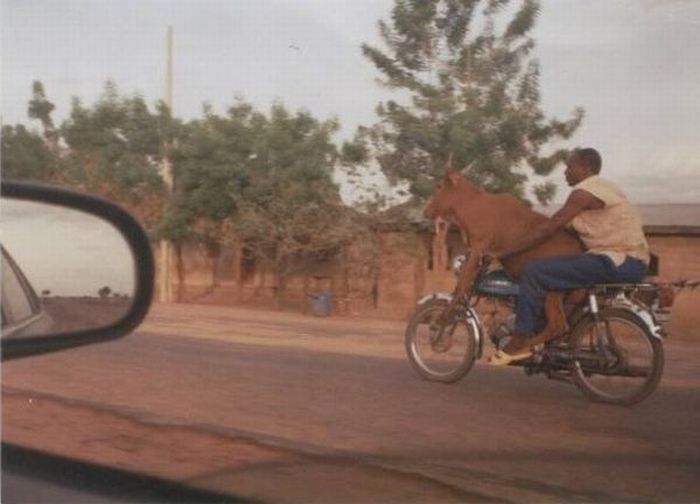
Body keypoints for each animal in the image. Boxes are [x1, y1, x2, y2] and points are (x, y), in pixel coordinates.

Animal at [424, 167, 584, 352]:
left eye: (439, 186)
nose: (425, 211)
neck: (472, 207)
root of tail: (581, 248)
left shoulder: (478, 247)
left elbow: (462, 285)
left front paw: (443, 320)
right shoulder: (476, 252)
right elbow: (461, 285)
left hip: (554, 289)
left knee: (558, 324)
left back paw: (519, 346)